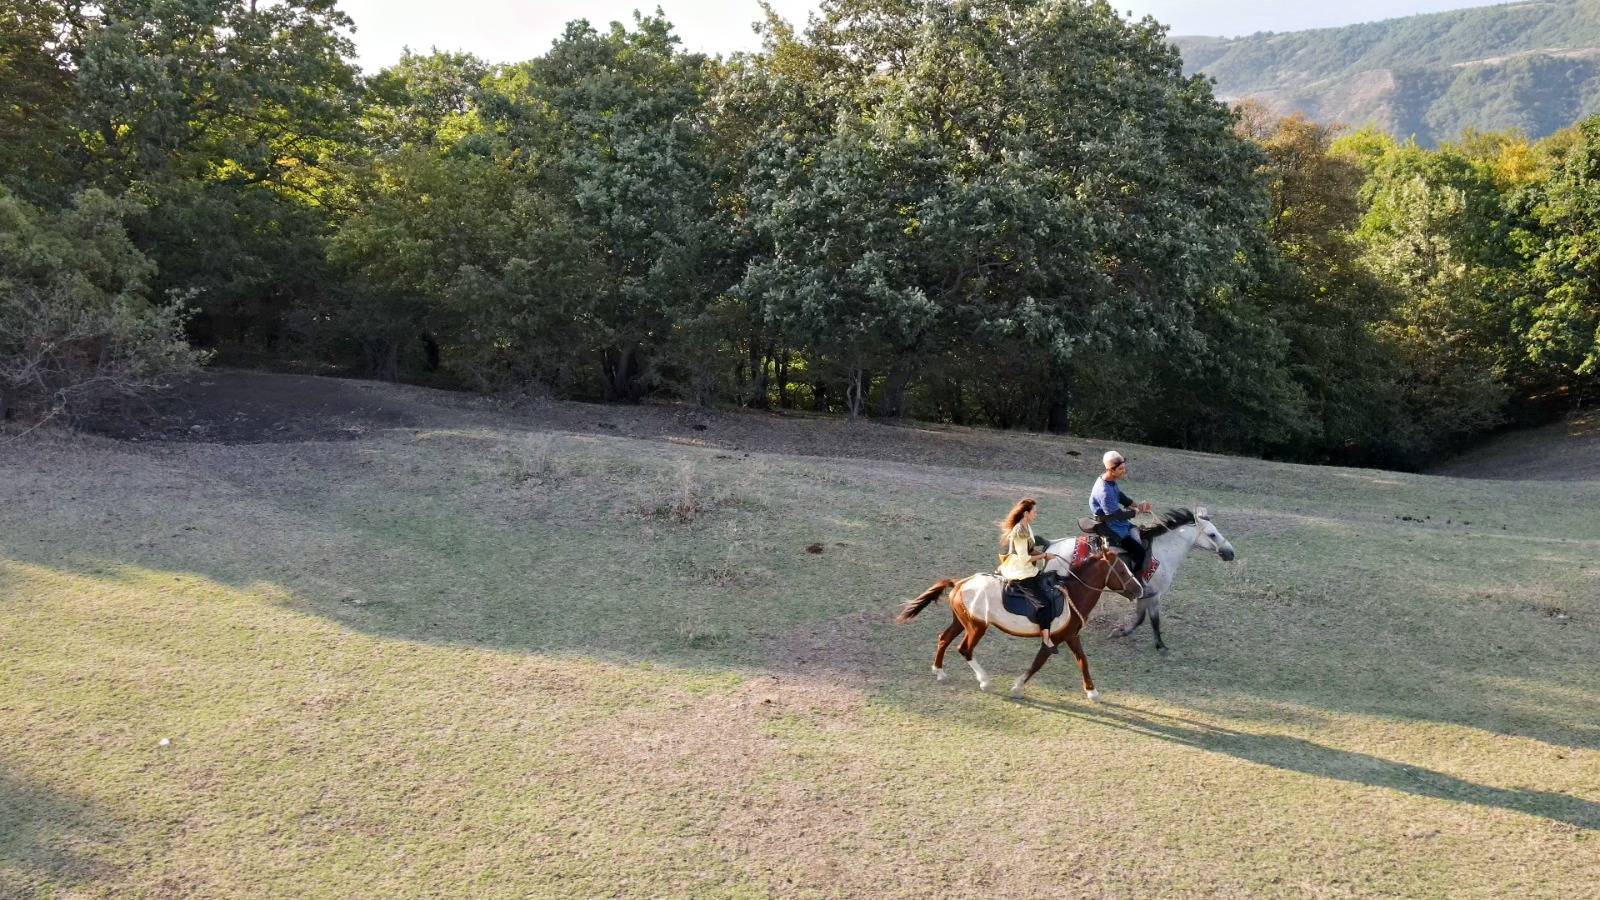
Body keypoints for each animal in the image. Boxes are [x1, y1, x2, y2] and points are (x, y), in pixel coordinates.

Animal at [896, 534, 1145, 698]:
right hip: (977, 627)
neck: (1072, 594)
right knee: (964, 649)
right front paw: (1016, 687)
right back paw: (985, 682)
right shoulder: (1053, 640)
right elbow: (1037, 663)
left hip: (961, 622)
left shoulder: (1071, 636)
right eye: (1122, 570)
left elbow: (1082, 660)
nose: (1139, 589)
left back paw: (939, 672)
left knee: (943, 639)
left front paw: (1092, 692)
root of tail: (960, 583)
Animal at [1107, 506, 1241, 643]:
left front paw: (1121, 631)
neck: (1162, 552)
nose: (1231, 553)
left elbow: (1140, 618)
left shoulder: (1146, 596)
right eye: (1212, 534)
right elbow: (1151, 620)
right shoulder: (1153, 595)